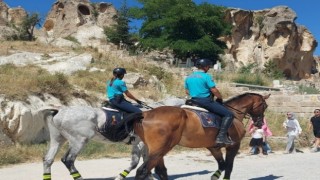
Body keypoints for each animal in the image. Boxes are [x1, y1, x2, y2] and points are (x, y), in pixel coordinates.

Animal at [40, 98, 185, 180]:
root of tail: (59, 112)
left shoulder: (143, 145)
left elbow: (144, 162)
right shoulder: (141, 144)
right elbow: (138, 162)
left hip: (58, 140)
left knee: (48, 160)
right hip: (79, 141)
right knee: (68, 160)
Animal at [116, 92, 268, 179]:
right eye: (265, 106)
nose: (260, 123)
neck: (234, 114)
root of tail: (144, 114)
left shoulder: (214, 147)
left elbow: (222, 165)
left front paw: (214, 176)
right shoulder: (234, 146)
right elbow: (228, 167)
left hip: (156, 150)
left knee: (160, 171)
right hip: (159, 150)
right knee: (143, 171)